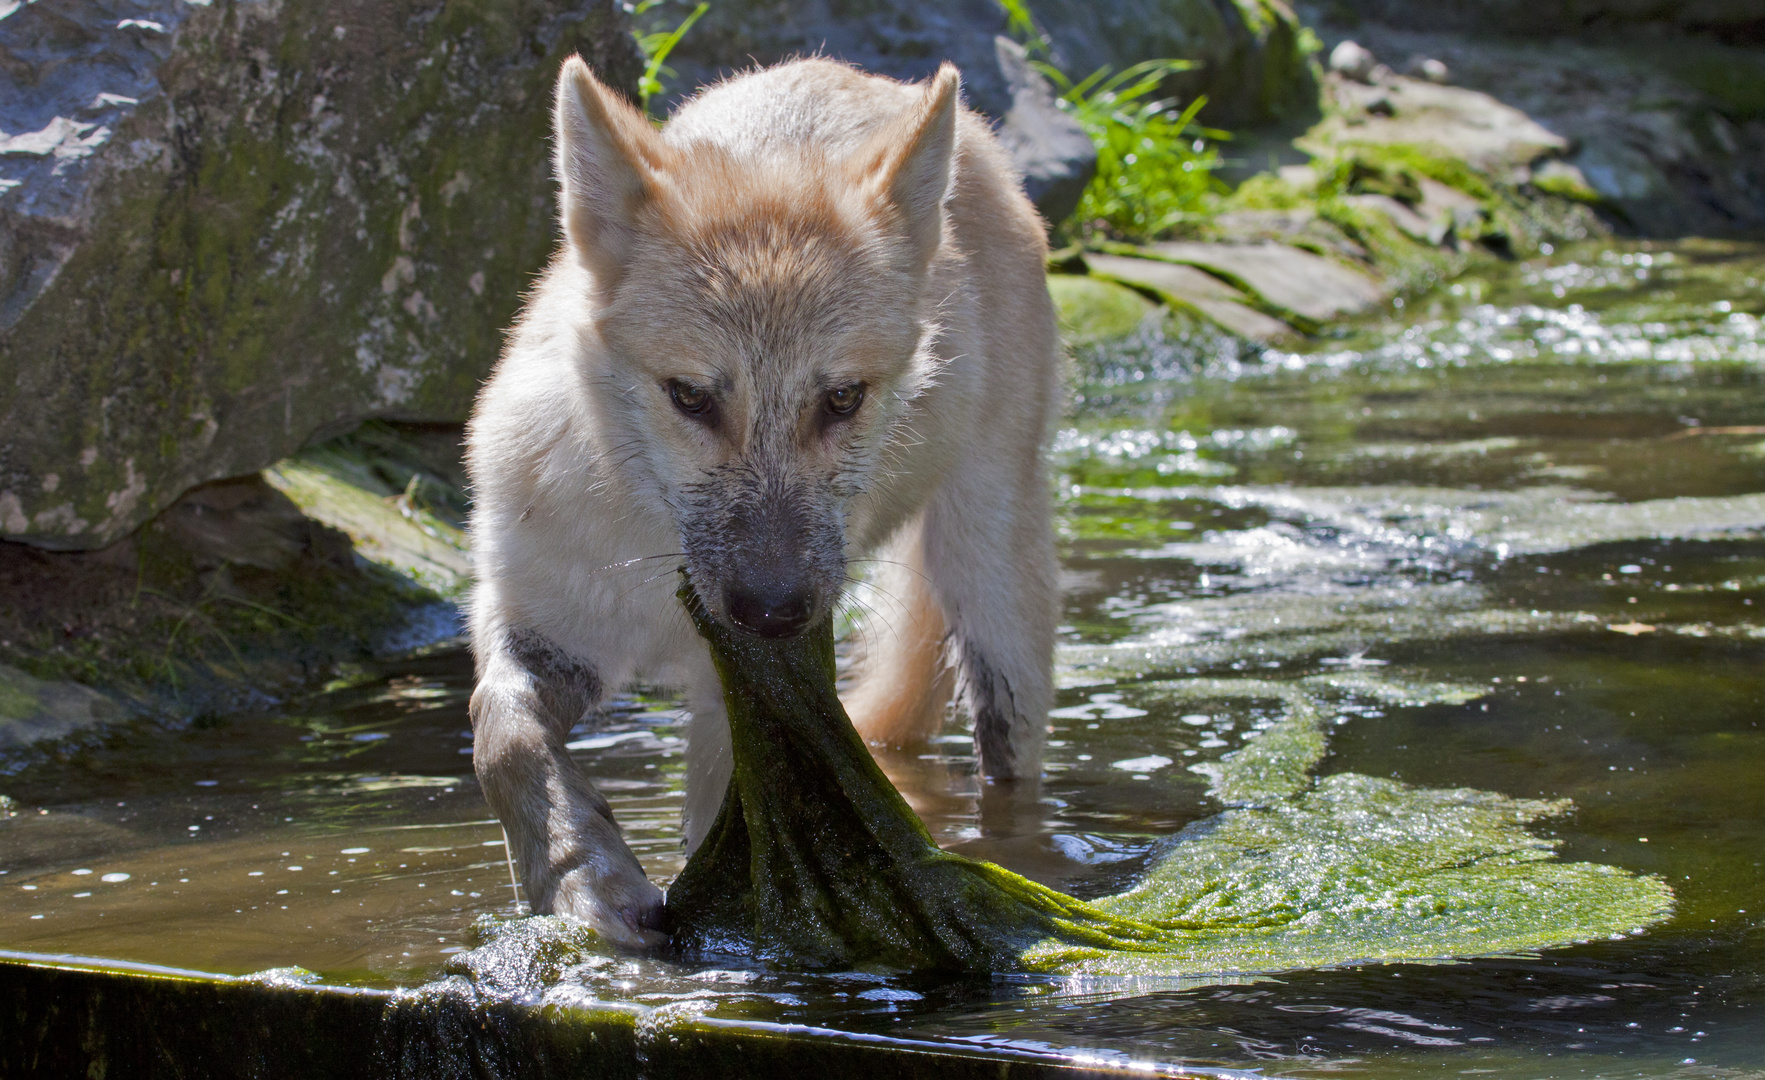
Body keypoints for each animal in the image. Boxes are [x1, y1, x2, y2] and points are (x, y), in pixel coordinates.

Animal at [465, 54, 1059, 945]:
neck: (653, 559)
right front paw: (584, 877)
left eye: (842, 398)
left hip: (993, 609)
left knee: (1009, 774)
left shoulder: (732, 703)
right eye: (689, 396)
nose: (772, 611)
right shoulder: (544, 628)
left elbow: (722, 829)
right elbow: (499, 735)